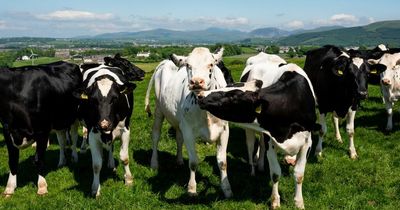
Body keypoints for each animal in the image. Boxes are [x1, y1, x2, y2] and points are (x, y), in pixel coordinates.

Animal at [0, 61, 81, 196]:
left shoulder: (42, 131)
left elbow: (39, 159)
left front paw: (42, 186)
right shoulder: (8, 131)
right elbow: (12, 161)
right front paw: (9, 187)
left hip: (74, 116)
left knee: (74, 138)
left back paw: (75, 157)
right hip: (59, 120)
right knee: (62, 141)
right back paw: (61, 161)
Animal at [75, 64, 139, 197]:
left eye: (115, 98)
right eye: (93, 100)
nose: (104, 124)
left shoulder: (125, 130)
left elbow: (124, 158)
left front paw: (128, 179)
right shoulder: (93, 134)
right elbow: (96, 164)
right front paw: (95, 188)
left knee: (111, 146)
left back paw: (111, 163)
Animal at [145, 46, 233, 198]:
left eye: (211, 64)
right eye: (188, 65)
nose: (196, 82)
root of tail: (165, 61)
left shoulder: (224, 130)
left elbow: (222, 162)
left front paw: (227, 189)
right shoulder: (189, 131)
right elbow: (193, 162)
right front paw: (192, 188)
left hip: (178, 119)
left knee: (178, 138)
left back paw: (179, 160)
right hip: (158, 109)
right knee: (155, 135)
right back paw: (154, 163)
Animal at [198, 65, 318, 209]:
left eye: (233, 97)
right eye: (228, 86)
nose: (200, 95)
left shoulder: (307, 142)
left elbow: (299, 174)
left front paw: (299, 202)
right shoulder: (269, 139)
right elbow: (275, 173)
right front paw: (275, 201)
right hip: (251, 131)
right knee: (251, 147)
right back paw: (254, 170)